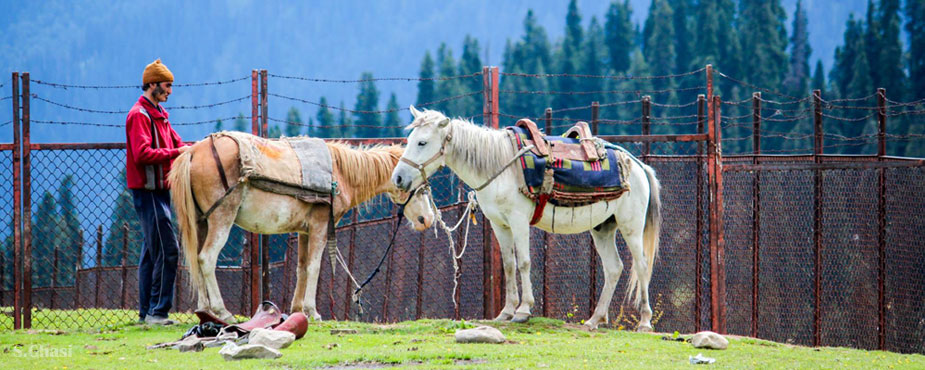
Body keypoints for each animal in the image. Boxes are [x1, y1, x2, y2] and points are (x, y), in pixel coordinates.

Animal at [166, 132, 434, 320]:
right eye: (420, 188)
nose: (428, 220)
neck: (340, 173)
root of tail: (194, 151)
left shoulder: (305, 231)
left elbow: (302, 268)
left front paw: (296, 309)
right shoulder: (320, 227)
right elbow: (315, 267)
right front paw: (312, 311)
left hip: (202, 222)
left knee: (195, 260)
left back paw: (205, 309)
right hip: (222, 218)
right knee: (206, 259)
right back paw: (221, 311)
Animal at [394, 106, 660, 330]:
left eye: (422, 142)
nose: (398, 178)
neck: (500, 166)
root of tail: (638, 165)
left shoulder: (519, 221)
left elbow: (523, 262)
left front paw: (523, 310)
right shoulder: (500, 225)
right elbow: (508, 265)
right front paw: (506, 312)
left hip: (631, 227)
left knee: (642, 265)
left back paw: (644, 322)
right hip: (603, 228)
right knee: (614, 268)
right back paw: (594, 320)